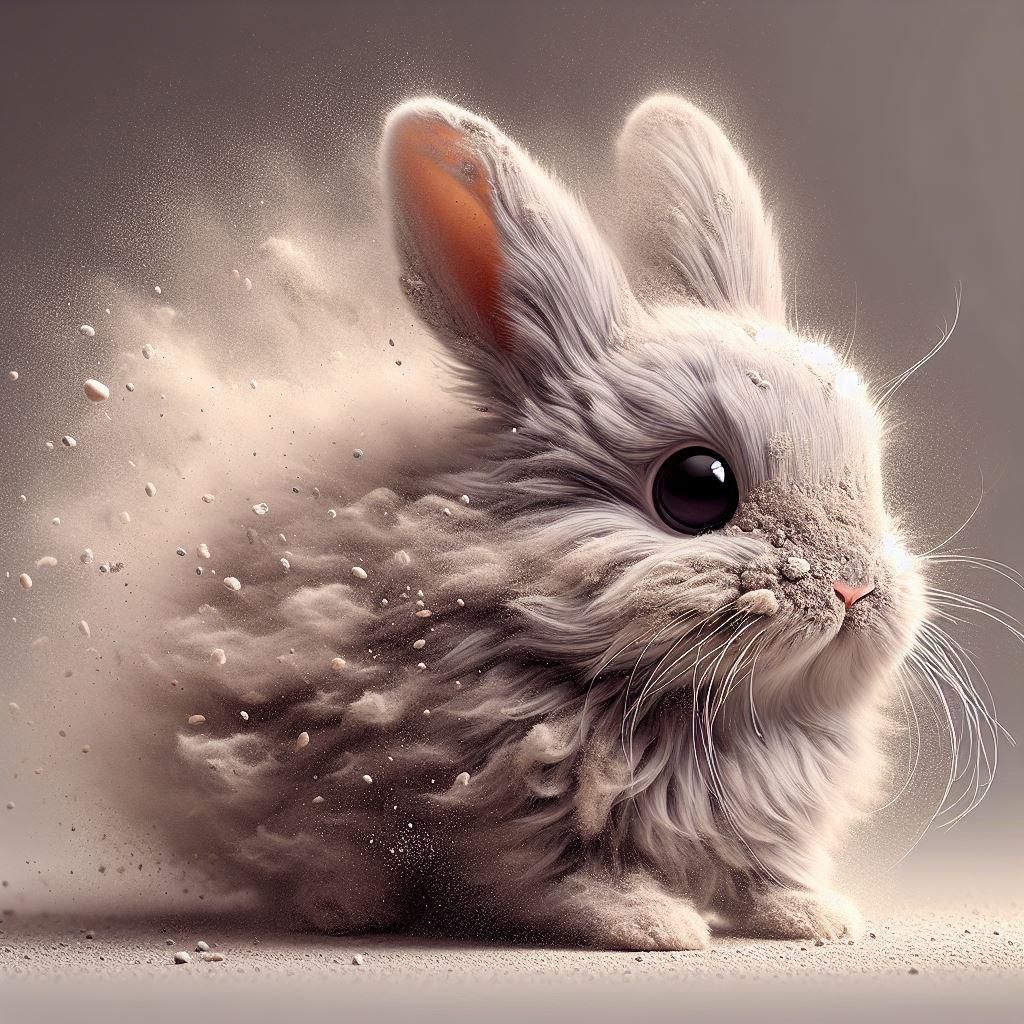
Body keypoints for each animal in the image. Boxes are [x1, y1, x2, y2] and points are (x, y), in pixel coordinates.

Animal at [156, 94, 928, 951]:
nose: (854, 588)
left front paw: (817, 919)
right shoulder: (526, 797)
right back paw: (348, 907)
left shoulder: (773, 825)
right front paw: (654, 925)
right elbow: (576, 874)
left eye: (872, 467)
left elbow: (772, 870)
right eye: (697, 489)